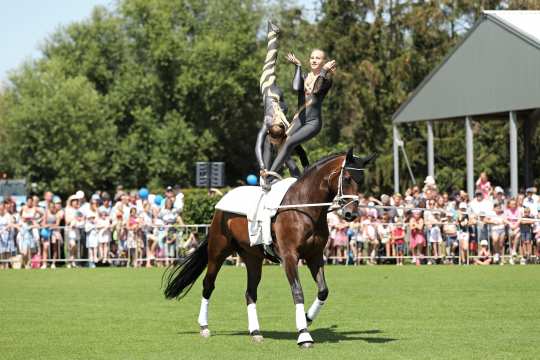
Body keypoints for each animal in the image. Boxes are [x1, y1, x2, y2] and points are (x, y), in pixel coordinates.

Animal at [165, 148, 376, 348]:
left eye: (361, 180)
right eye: (347, 178)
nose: (351, 214)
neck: (305, 208)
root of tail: (220, 205)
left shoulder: (315, 256)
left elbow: (323, 290)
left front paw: (307, 318)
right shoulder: (289, 256)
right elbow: (297, 292)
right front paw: (304, 335)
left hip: (252, 258)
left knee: (250, 293)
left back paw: (255, 332)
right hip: (218, 252)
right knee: (208, 284)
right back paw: (204, 327)